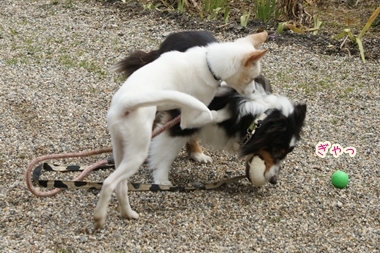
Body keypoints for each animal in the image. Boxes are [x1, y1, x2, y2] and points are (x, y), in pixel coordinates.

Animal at [93, 31, 268, 227]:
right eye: (251, 78)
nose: (254, 93)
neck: (207, 63)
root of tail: (126, 104)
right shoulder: (189, 117)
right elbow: (211, 114)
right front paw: (226, 112)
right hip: (137, 152)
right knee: (109, 183)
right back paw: (99, 218)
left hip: (121, 148)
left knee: (121, 186)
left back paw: (128, 214)